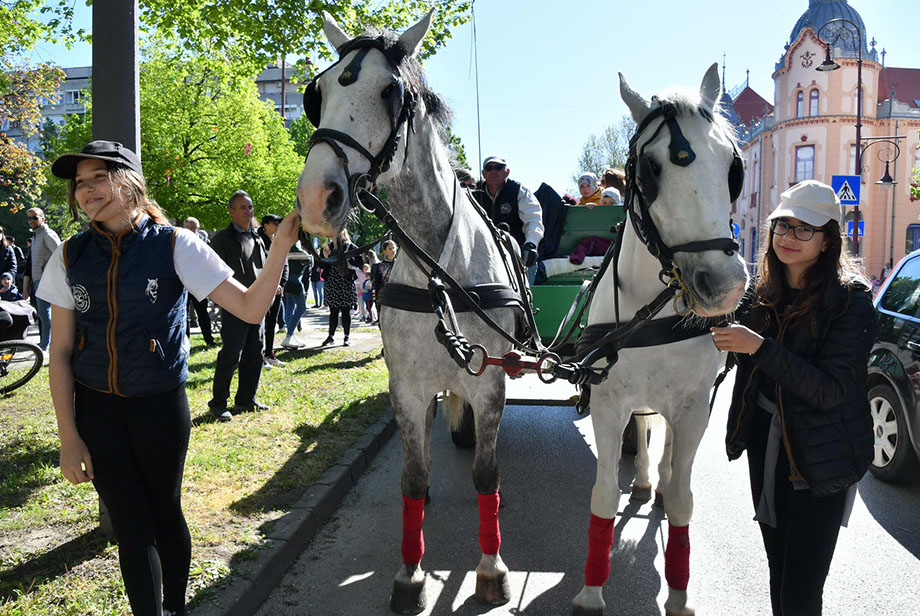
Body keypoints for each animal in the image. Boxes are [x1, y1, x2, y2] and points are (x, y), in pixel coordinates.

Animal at [295, 11, 524, 614]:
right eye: (318, 93)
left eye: (389, 91)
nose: (315, 198)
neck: (439, 276)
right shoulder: (407, 388)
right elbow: (413, 479)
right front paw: (411, 573)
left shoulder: (489, 385)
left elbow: (486, 474)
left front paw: (491, 568)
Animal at [569, 66, 750, 616]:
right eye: (650, 169)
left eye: (732, 166)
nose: (724, 285)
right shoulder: (607, 401)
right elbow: (603, 494)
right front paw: (591, 591)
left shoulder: (694, 406)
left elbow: (688, 498)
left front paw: (679, 593)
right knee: (647, 428)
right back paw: (649, 479)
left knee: (666, 444)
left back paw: (664, 482)